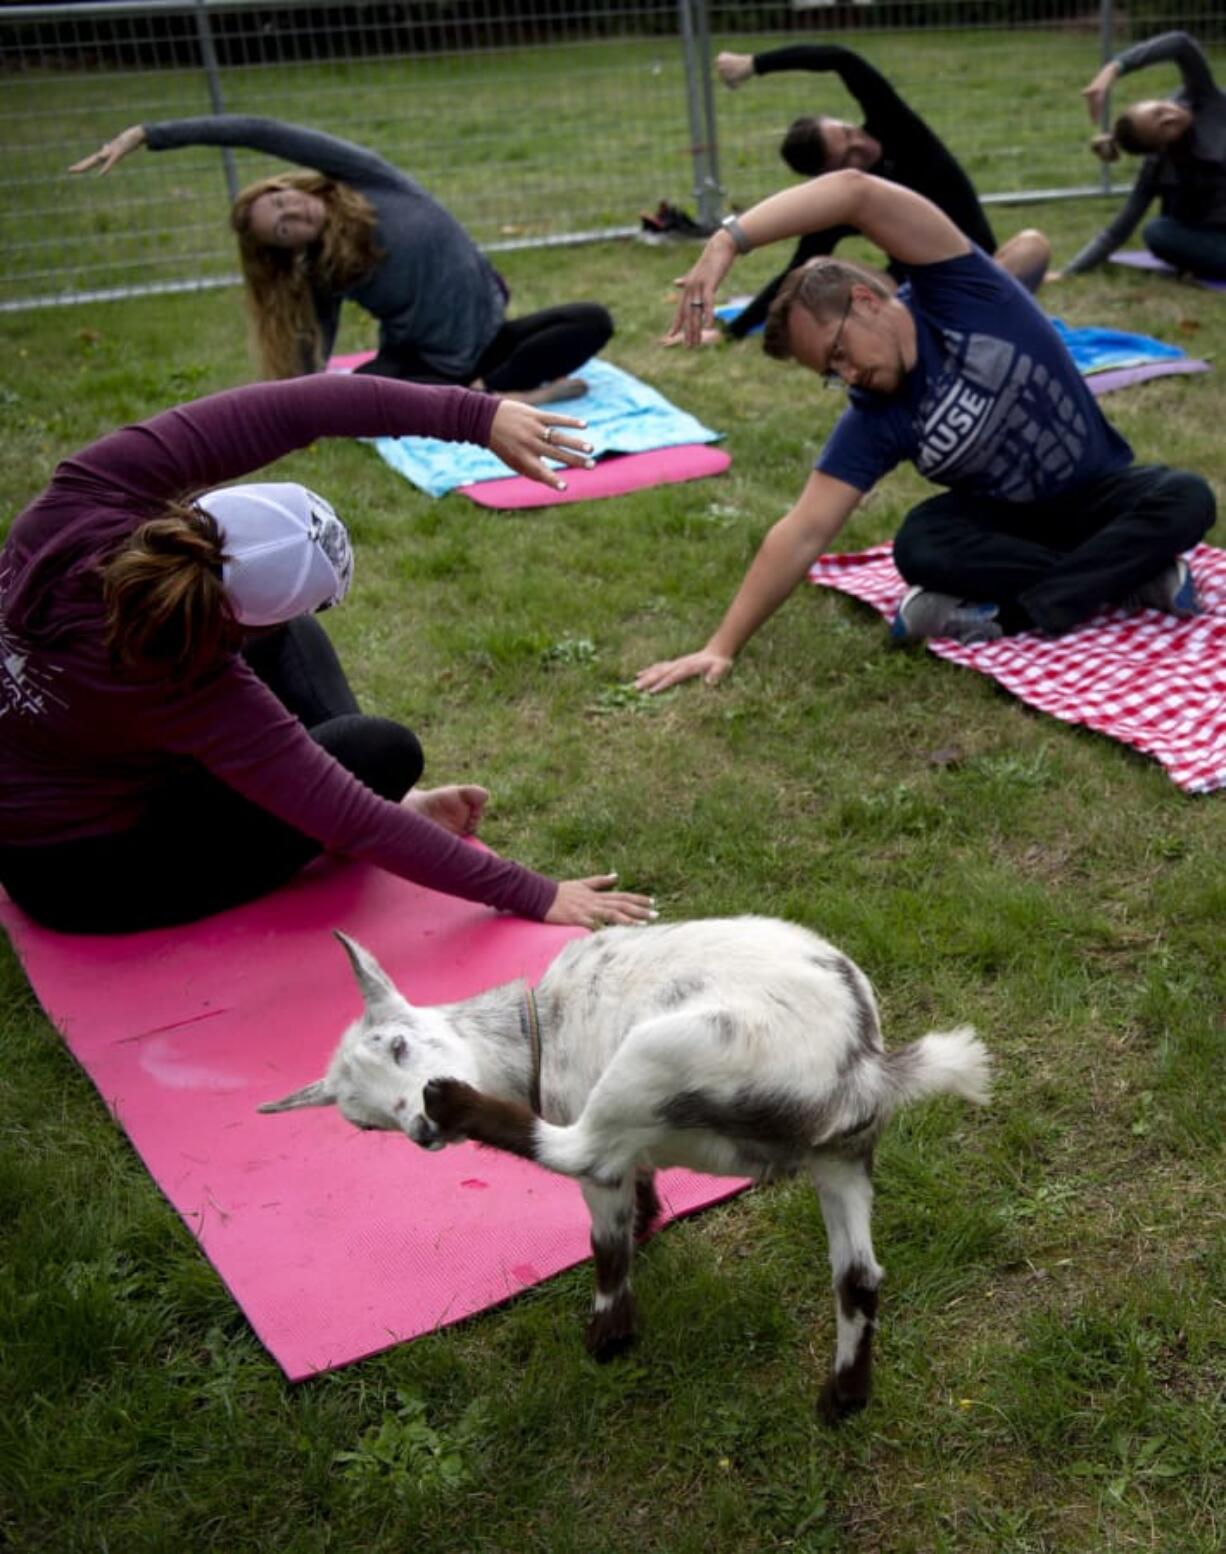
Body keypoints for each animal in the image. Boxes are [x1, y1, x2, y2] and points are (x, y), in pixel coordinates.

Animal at [257, 913, 988, 1423]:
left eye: (400, 1045)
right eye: (363, 1123)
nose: (420, 1130)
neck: (534, 1033)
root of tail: (859, 1066)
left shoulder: (598, 1157)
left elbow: (605, 1236)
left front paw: (610, 1333)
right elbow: (637, 1188)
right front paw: (649, 1221)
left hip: (656, 1054)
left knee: (578, 1149)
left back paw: (459, 1103)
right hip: (842, 1159)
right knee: (859, 1277)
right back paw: (843, 1397)